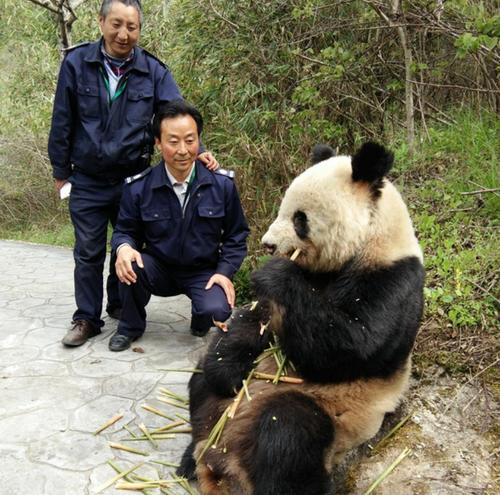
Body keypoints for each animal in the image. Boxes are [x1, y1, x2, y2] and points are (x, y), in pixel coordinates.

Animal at [178, 141, 424, 494]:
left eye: (299, 218)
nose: (268, 245)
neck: (368, 242)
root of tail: (221, 461)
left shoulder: (394, 279)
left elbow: (354, 346)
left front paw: (276, 273)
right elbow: (254, 320)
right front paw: (229, 370)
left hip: (332, 418)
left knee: (290, 433)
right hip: (217, 411)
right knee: (202, 384)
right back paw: (190, 456)